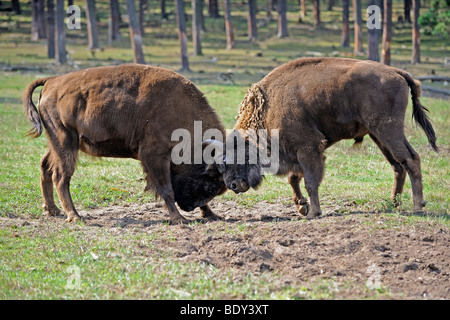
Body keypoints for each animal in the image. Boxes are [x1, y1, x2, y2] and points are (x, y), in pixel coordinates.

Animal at [22, 63, 227, 224]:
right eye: (209, 181)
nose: (189, 207)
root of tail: (52, 81)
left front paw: (212, 215)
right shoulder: (154, 156)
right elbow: (166, 189)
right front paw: (179, 219)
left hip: (57, 143)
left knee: (45, 166)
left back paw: (52, 210)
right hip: (66, 142)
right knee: (60, 177)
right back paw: (75, 216)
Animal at [211, 57, 440, 220]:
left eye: (229, 158)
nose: (232, 185)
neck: (266, 109)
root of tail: (398, 73)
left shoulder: (308, 148)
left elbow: (310, 181)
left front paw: (312, 213)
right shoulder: (297, 153)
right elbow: (294, 178)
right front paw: (302, 207)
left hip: (387, 129)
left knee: (410, 159)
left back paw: (417, 206)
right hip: (378, 134)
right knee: (398, 166)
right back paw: (394, 204)